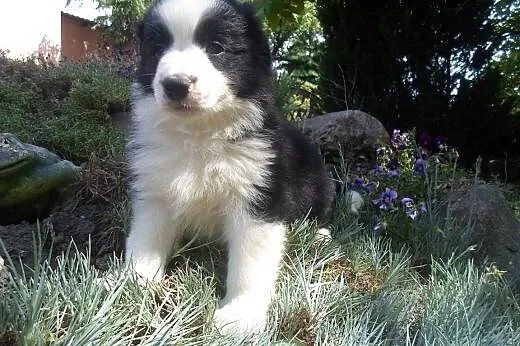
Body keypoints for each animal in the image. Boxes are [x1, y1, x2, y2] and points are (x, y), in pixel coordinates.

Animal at [128, 0, 336, 334]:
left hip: (319, 179)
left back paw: (320, 235)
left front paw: (240, 315)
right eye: (157, 48)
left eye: (217, 47)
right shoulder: (155, 191)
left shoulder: (259, 197)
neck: (200, 134)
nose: (175, 85)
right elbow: (144, 241)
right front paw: (128, 283)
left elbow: (249, 265)